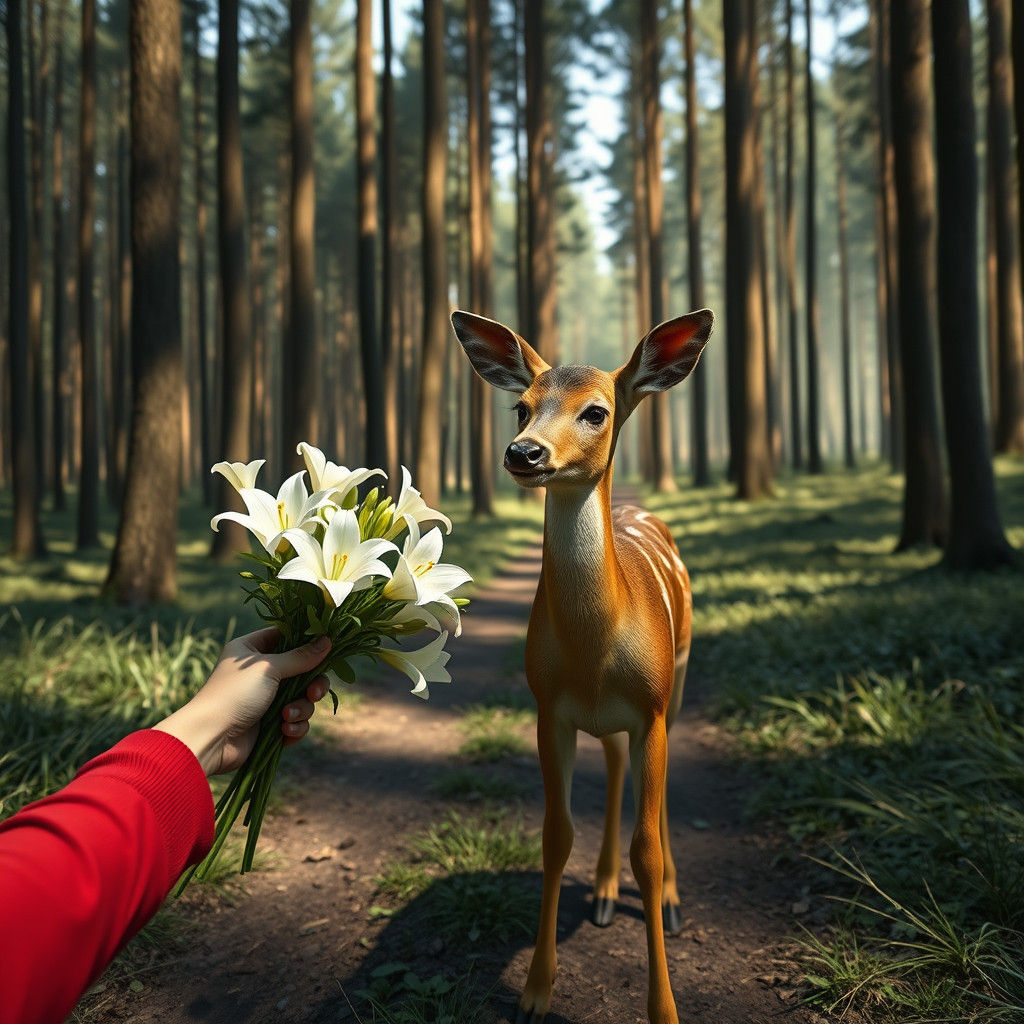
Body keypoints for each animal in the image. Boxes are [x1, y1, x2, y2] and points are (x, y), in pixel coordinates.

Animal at [451, 308, 714, 1024]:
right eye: (521, 406)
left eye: (596, 411)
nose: (524, 453)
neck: (594, 654)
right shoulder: (549, 707)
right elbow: (554, 837)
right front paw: (535, 993)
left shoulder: (651, 706)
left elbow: (647, 848)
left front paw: (665, 1009)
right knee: (617, 763)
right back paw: (599, 894)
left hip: (678, 678)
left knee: (657, 790)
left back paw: (671, 902)